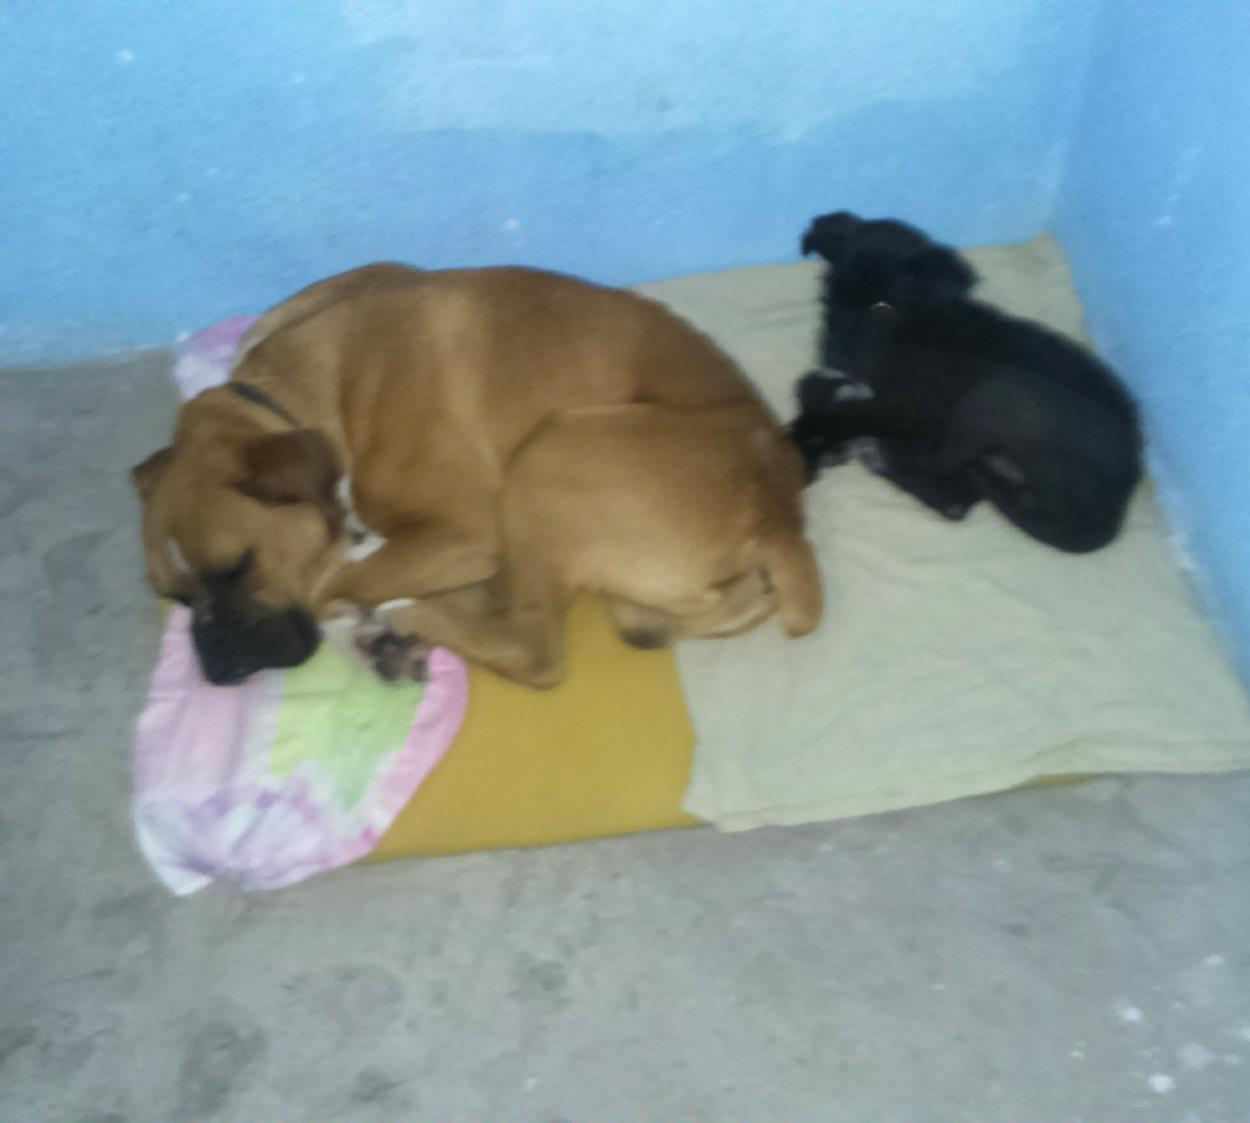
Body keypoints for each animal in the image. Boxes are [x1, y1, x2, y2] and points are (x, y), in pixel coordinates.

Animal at [132, 263, 821, 688]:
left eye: (238, 568)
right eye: (178, 599)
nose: (216, 663)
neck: (307, 397)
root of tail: (777, 509)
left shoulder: (466, 530)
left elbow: (341, 582)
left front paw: (361, 609)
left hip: (549, 454)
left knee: (536, 653)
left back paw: (411, 617)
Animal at [788, 212, 1142, 553]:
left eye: (882, 307)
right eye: (829, 294)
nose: (830, 356)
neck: (917, 328)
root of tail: (1120, 499)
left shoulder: (909, 405)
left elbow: (839, 409)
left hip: (993, 397)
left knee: (950, 487)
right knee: (957, 494)